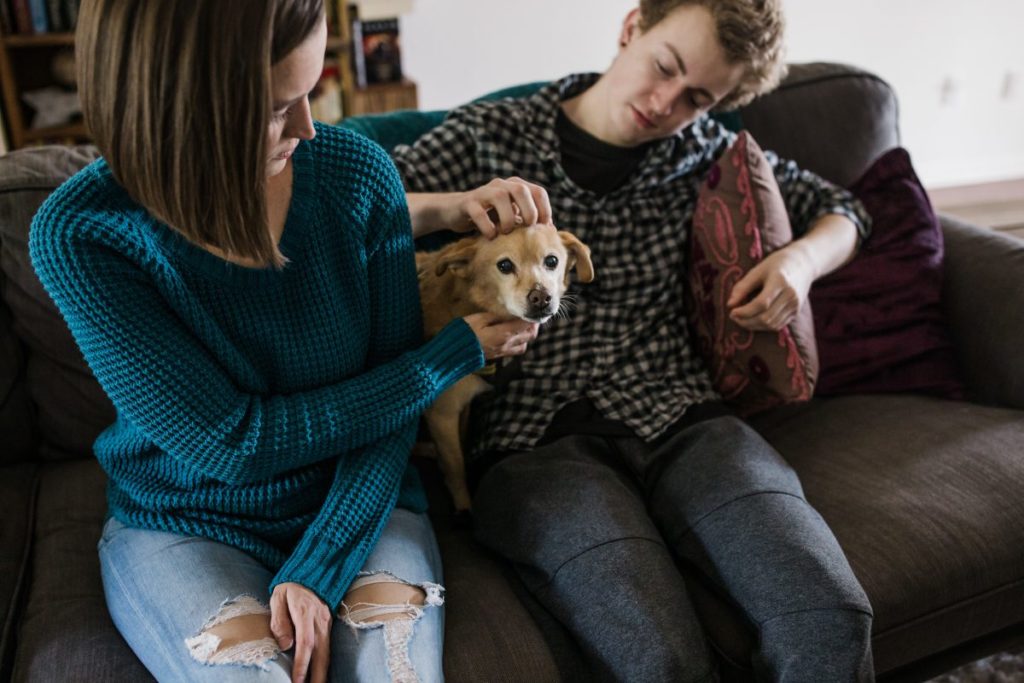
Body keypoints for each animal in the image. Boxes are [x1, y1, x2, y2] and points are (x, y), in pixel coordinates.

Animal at [413, 224, 593, 511]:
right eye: (505, 265)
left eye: (551, 261)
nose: (541, 297)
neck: (464, 304)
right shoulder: (442, 414)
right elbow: (456, 466)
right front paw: (464, 506)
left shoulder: (462, 407)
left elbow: (461, 442)